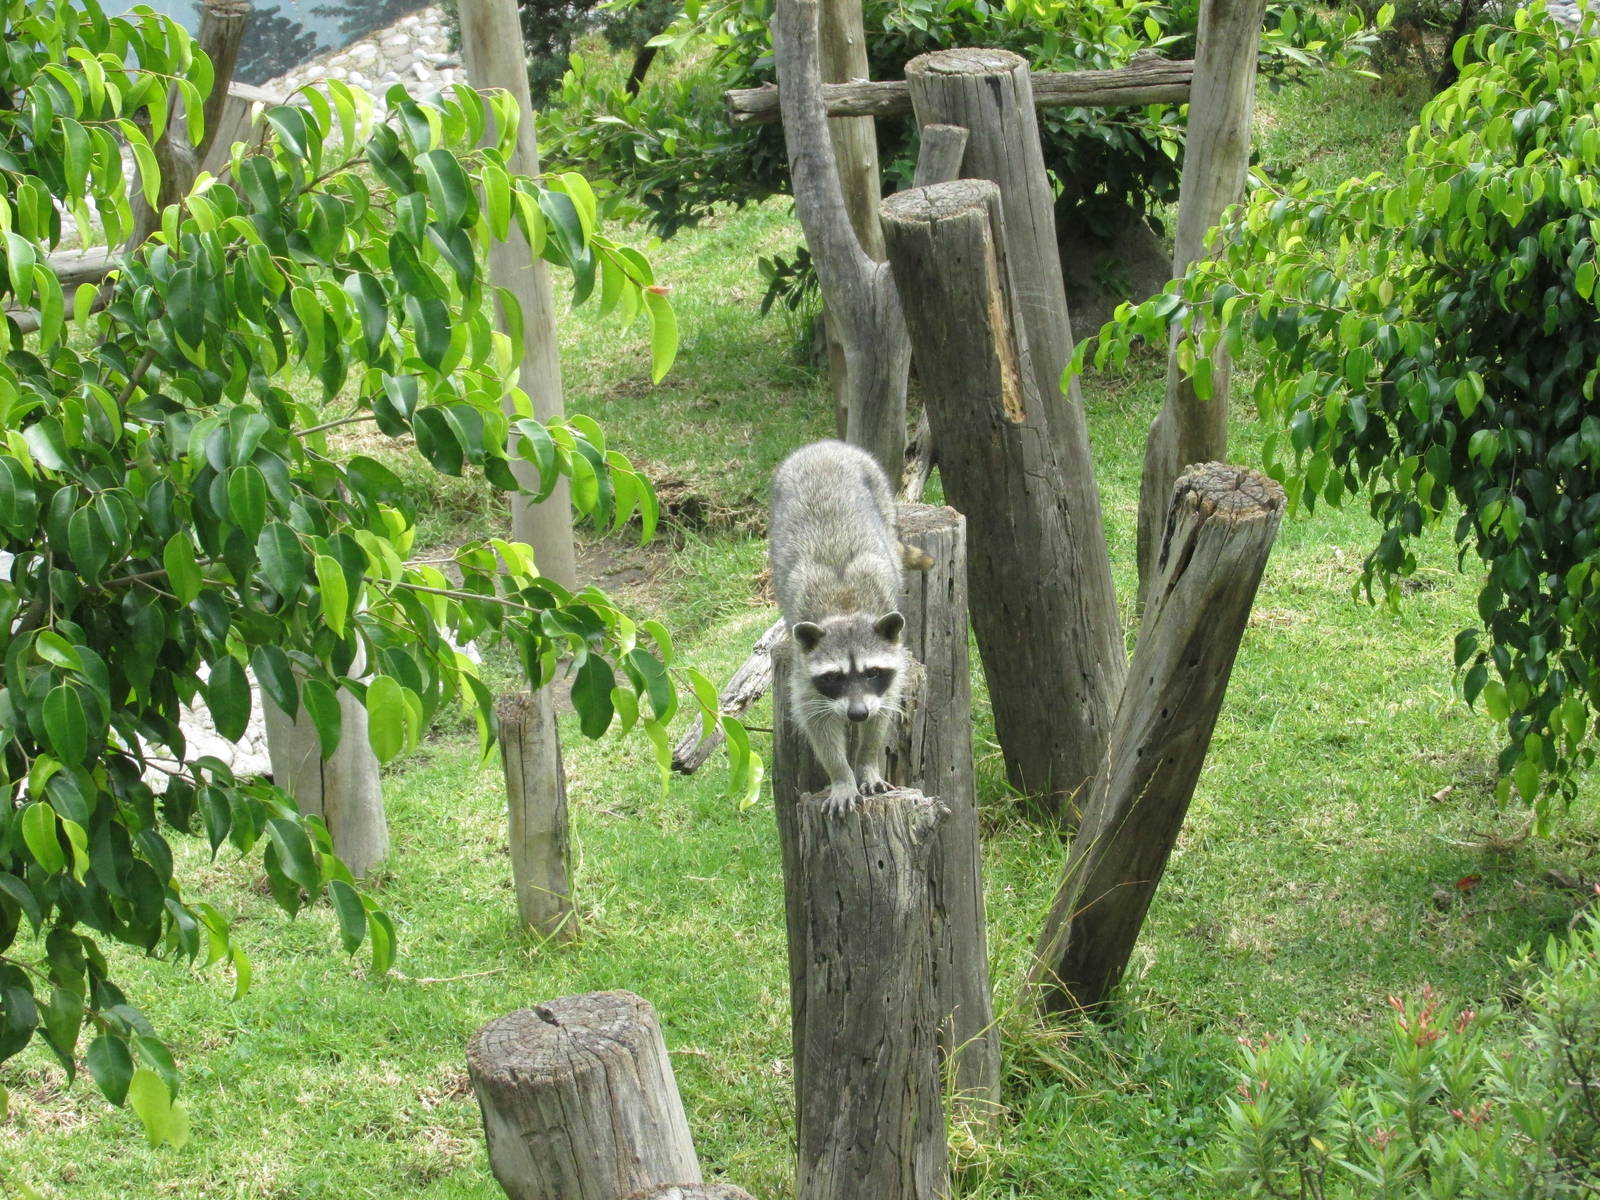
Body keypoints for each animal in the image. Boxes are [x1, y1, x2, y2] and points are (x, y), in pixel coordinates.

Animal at [770, 440, 909, 814]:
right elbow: (816, 721)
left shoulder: (888, 673)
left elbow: (882, 712)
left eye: (872, 671)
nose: (857, 713)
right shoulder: (804, 670)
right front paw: (842, 776)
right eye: (834, 677)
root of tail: (824, 446)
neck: (845, 610)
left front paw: (867, 762)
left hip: (883, 497)